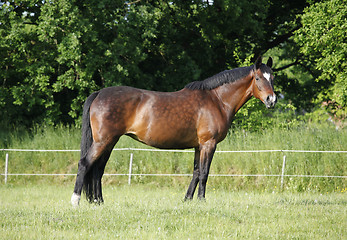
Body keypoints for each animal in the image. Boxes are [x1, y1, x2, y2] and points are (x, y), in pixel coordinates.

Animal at [70, 56, 278, 206]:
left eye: (273, 78)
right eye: (258, 78)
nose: (272, 100)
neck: (217, 100)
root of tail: (99, 93)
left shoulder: (199, 146)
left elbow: (196, 172)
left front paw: (187, 200)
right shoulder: (208, 144)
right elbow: (204, 173)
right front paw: (202, 201)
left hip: (110, 141)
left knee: (98, 169)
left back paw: (98, 202)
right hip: (103, 141)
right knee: (85, 164)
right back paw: (76, 201)